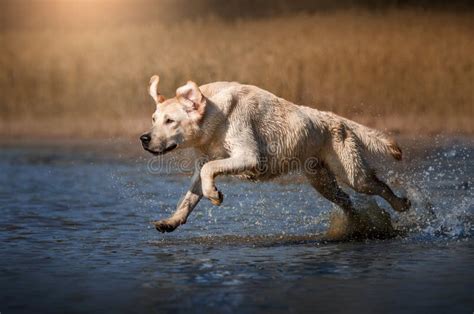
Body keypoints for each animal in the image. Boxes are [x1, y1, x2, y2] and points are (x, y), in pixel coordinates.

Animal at [139, 75, 410, 233]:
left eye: (170, 121)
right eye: (153, 119)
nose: (144, 139)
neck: (214, 117)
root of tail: (336, 118)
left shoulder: (248, 156)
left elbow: (210, 171)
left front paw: (215, 195)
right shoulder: (203, 161)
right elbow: (189, 197)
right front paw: (171, 221)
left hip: (354, 175)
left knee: (379, 186)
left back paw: (401, 204)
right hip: (321, 181)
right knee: (346, 201)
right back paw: (355, 227)